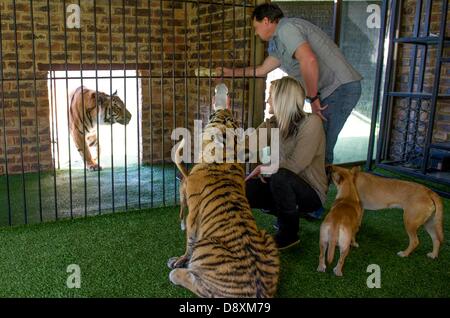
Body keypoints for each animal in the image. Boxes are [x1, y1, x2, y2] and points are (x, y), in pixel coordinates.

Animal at [169, 89, 280, 298]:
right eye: (232, 119)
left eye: (216, 117)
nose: (223, 107)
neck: (226, 153)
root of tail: (257, 291)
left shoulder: (192, 215)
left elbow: (189, 241)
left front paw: (180, 259)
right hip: (267, 238)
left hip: (206, 246)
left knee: (200, 286)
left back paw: (177, 273)